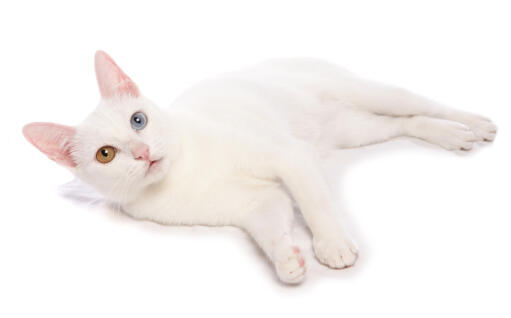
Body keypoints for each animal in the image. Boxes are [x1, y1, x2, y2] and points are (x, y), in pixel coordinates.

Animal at [23, 51, 496, 284]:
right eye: (106, 154)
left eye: (138, 120)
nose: (141, 152)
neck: (184, 170)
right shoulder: (255, 203)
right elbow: (270, 227)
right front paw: (288, 259)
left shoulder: (289, 155)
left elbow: (315, 204)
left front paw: (331, 245)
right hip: (354, 130)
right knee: (406, 123)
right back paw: (449, 135)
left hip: (369, 95)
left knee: (421, 104)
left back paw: (474, 124)